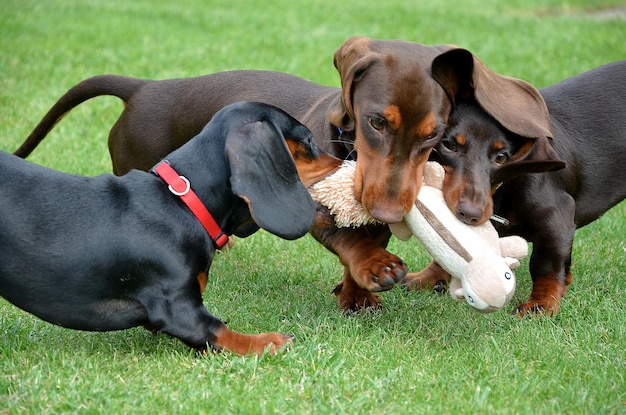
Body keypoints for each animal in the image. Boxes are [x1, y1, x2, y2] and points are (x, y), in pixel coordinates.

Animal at [1, 102, 342, 356]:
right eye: (309, 141)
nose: (347, 162)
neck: (184, 204)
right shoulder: (179, 308)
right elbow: (220, 330)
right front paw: (269, 341)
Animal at [13, 37, 552, 312]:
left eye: (434, 136)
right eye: (377, 122)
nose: (387, 209)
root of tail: (145, 88)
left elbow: (364, 241)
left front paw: (355, 294)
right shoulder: (310, 200)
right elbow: (349, 240)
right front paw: (372, 269)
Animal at [402, 60, 620, 316]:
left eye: (501, 157)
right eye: (448, 145)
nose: (470, 214)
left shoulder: (558, 218)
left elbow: (545, 265)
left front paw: (541, 304)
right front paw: (427, 278)